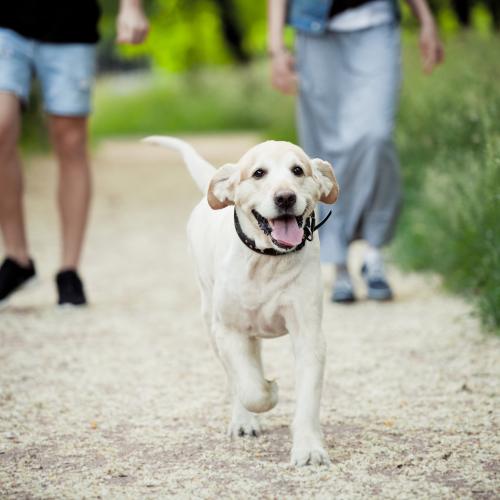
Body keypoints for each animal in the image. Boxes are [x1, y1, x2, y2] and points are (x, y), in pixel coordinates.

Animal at [145, 136, 340, 464]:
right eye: (259, 173)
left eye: (298, 170)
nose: (285, 198)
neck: (268, 261)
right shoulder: (230, 331)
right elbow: (251, 389)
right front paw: (269, 392)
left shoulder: (309, 334)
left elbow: (307, 399)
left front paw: (309, 449)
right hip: (212, 323)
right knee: (236, 378)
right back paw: (244, 421)